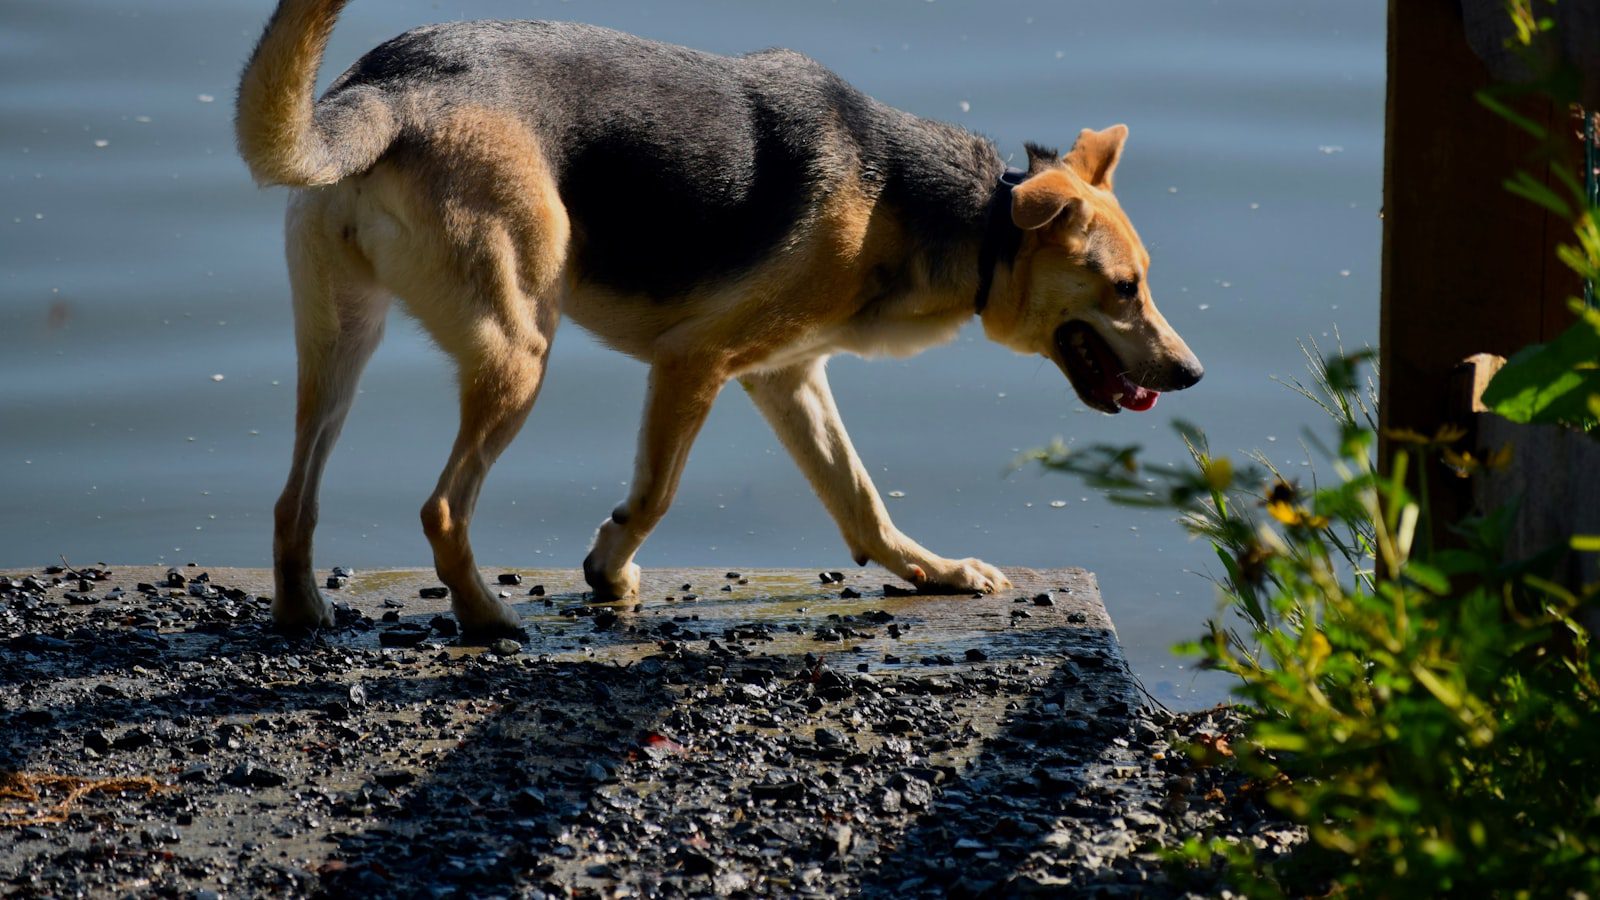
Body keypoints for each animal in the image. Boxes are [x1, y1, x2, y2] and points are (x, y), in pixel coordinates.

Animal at [233, 1, 1203, 630]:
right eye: (1125, 288)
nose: (1192, 374)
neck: (962, 217)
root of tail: (389, 89)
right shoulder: (694, 363)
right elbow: (656, 495)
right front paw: (608, 569)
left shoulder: (788, 377)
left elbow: (860, 503)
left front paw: (933, 573)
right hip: (518, 352)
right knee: (441, 509)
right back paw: (492, 622)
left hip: (339, 343)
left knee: (291, 500)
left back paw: (303, 615)